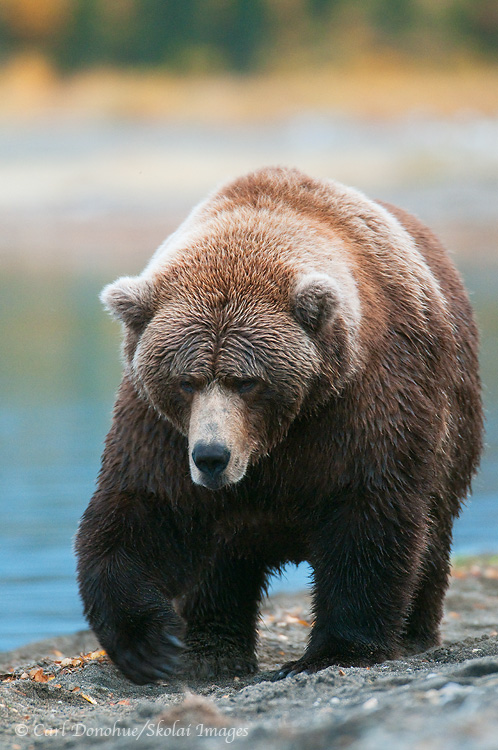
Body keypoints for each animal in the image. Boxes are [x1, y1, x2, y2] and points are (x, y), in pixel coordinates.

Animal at [75, 166, 483, 685]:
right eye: (186, 381)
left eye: (247, 381)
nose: (212, 456)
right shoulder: (160, 427)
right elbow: (142, 510)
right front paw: (153, 644)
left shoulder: (364, 402)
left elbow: (368, 515)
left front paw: (334, 651)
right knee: (218, 566)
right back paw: (212, 650)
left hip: (454, 423)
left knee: (432, 530)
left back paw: (414, 633)